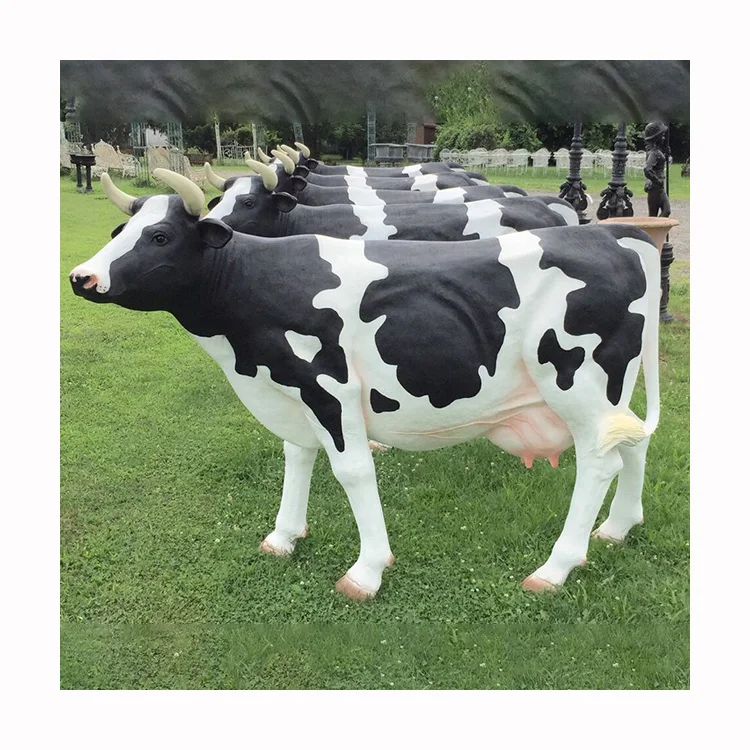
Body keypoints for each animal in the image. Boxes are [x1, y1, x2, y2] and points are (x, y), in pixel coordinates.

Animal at [69, 168, 661, 600]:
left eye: (160, 236)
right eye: (118, 233)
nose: (81, 277)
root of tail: (613, 233)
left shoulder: (327, 386)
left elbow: (352, 470)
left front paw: (367, 570)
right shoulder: (290, 391)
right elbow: (296, 455)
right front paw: (283, 536)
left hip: (577, 383)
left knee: (600, 461)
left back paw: (556, 567)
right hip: (613, 388)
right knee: (631, 441)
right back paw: (618, 528)